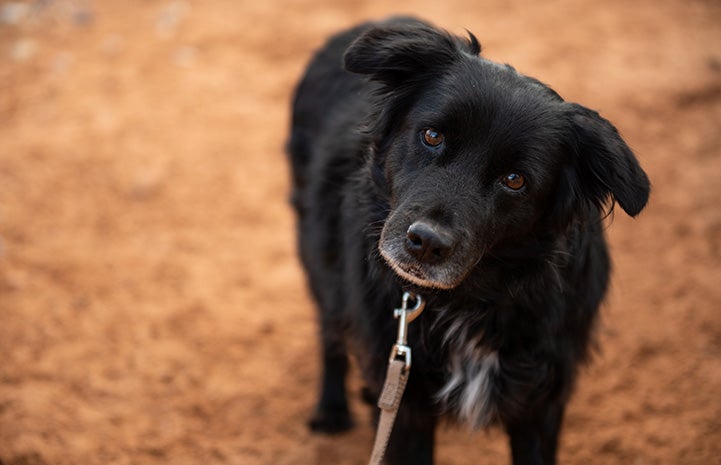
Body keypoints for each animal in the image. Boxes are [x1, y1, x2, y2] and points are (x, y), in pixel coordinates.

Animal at [286, 17, 648, 464]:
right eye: (432, 135)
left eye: (515, 179)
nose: (426, 243)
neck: (472, 299)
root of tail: (369, 23)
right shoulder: (406, 404)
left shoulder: (540, 400)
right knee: (329, 328)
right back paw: (331, 409)